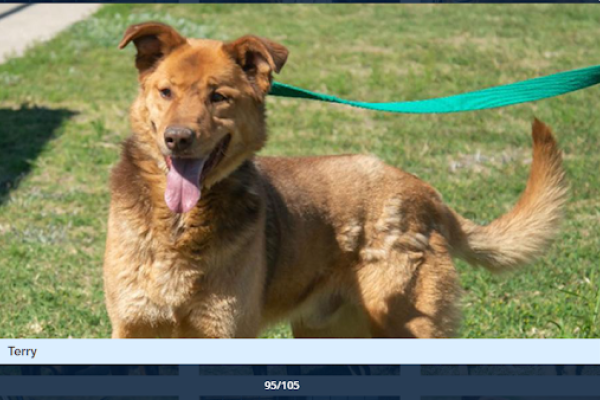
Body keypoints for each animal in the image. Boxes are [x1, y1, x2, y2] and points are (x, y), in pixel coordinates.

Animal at [103, 21, 568, 340]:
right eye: (166, 91)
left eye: (219, 96)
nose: (177, 138)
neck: (179, 225)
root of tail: (427, 193)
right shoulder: (134, 327)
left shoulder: (224, 329)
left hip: (406, 326)